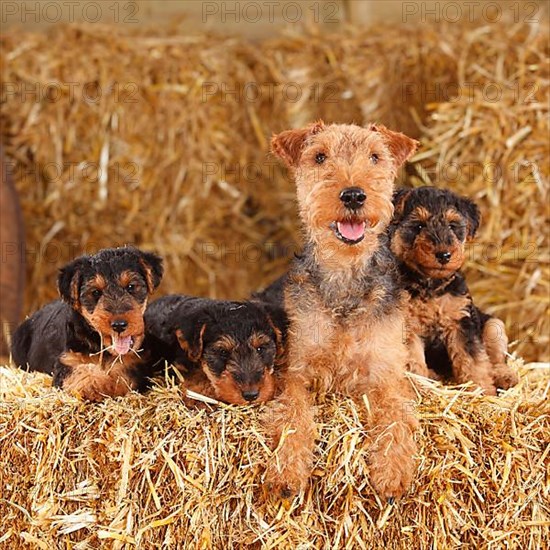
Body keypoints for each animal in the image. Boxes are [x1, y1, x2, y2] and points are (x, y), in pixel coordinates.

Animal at [11, 249, 164, 402]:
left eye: (131, 286)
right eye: (95, 292)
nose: (119, 325)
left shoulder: (137, 363)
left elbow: (121, 375)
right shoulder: (66, 362)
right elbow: (82, 373)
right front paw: (95, 384)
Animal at [390, 188, 520, 394]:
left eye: (452, 225)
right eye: (418, 226)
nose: (444, 255)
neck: (431, 287)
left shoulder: (461, 322)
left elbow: (473, 361)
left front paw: (480, 391)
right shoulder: (409, 327)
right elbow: (414, 362)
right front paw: (420, 387)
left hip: (494, 325)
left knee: (497, 359)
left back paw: (505, 377)